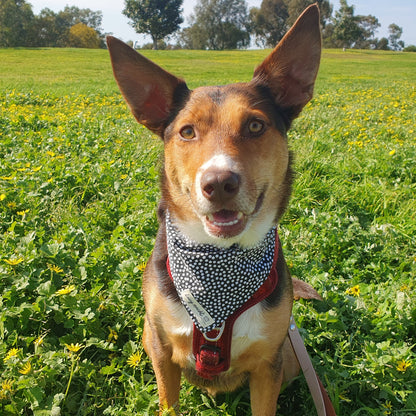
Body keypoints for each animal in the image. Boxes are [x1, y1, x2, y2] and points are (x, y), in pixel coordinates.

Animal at [107, 4, 322, 416]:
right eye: (187, 132)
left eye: (255, 125)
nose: (219, 183)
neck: (217, 262)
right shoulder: (161, 348)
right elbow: (168, 402)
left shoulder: (268, 364)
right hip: (147, 335)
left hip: (288, 357)